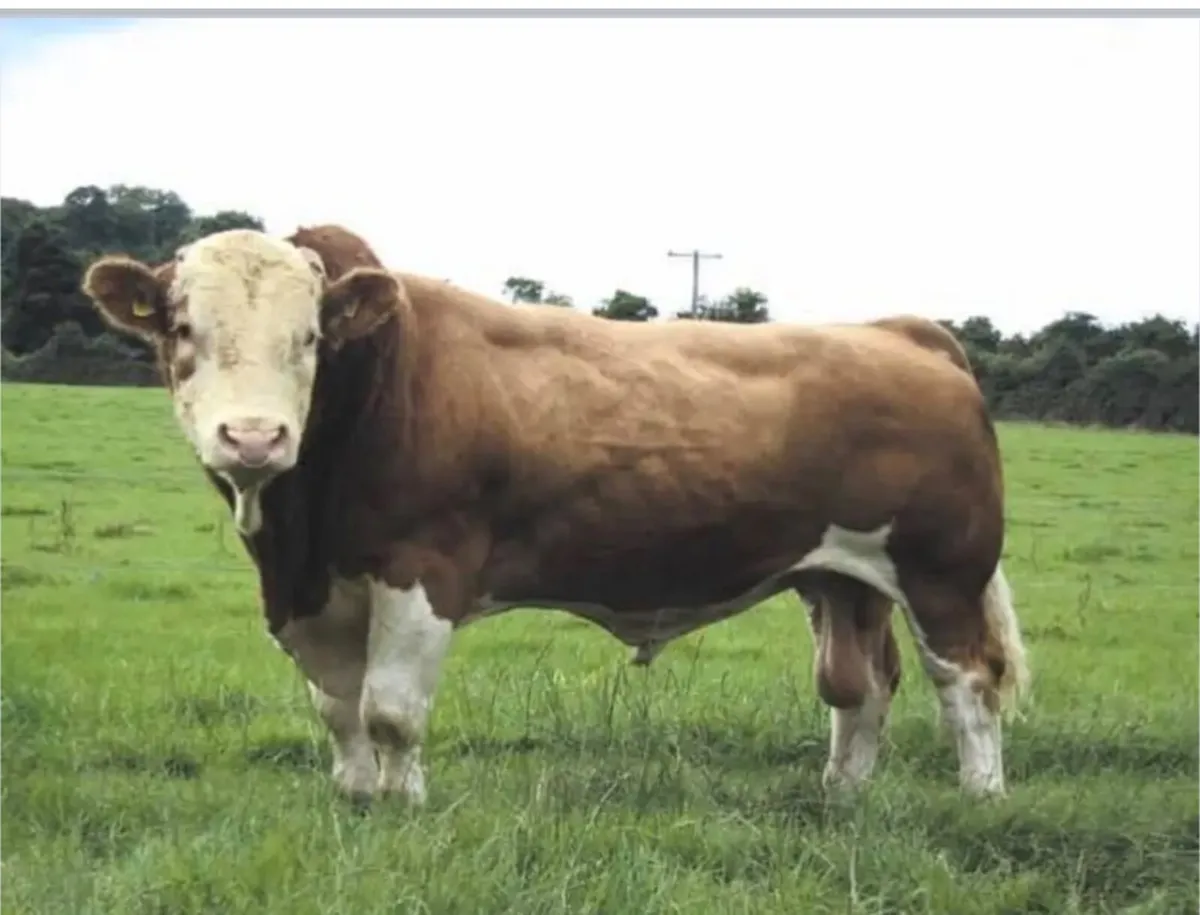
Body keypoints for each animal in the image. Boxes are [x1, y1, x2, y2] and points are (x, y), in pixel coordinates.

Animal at [81, 225, 1030, 806]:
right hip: (839, 576)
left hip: (941, 572)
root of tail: (901, 331)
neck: (299, 535)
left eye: (310, 338)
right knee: (858, 683)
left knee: (966, 680)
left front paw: (402, 803)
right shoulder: (315, 591)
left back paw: (981, 794)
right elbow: (338, 707)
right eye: (182, 330)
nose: (253, 436)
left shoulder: (423, 570)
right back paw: (843, 793)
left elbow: (390, 709)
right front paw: (354, 796)